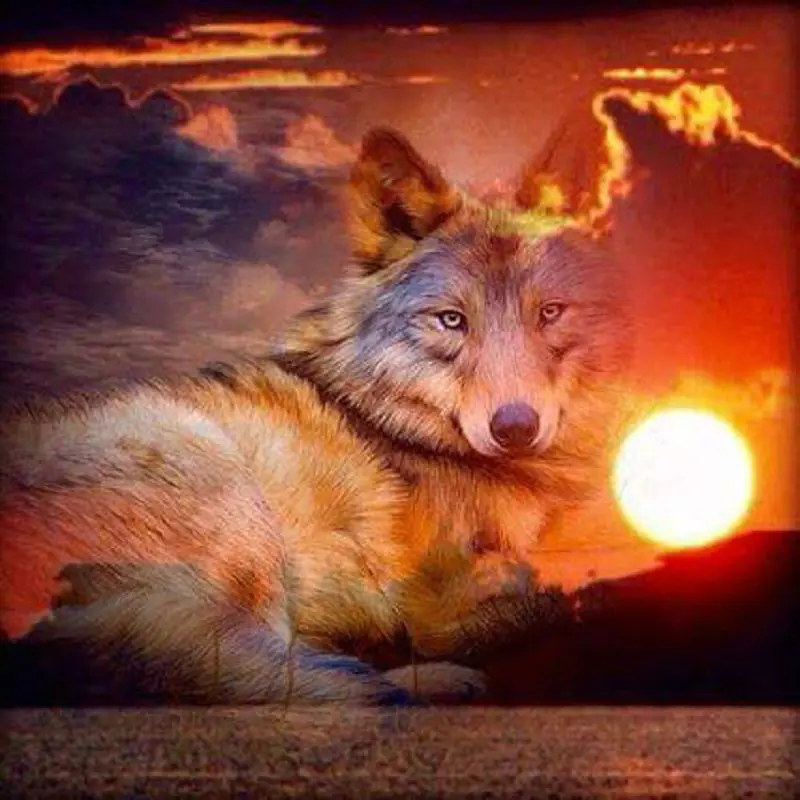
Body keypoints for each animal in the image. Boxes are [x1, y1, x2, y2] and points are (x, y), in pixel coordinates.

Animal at [0, 126, 630, 704]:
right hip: (229, 494)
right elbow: (541, 592)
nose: (516, 427)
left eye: (550, 313)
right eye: (451, 320)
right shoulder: (435, 600)